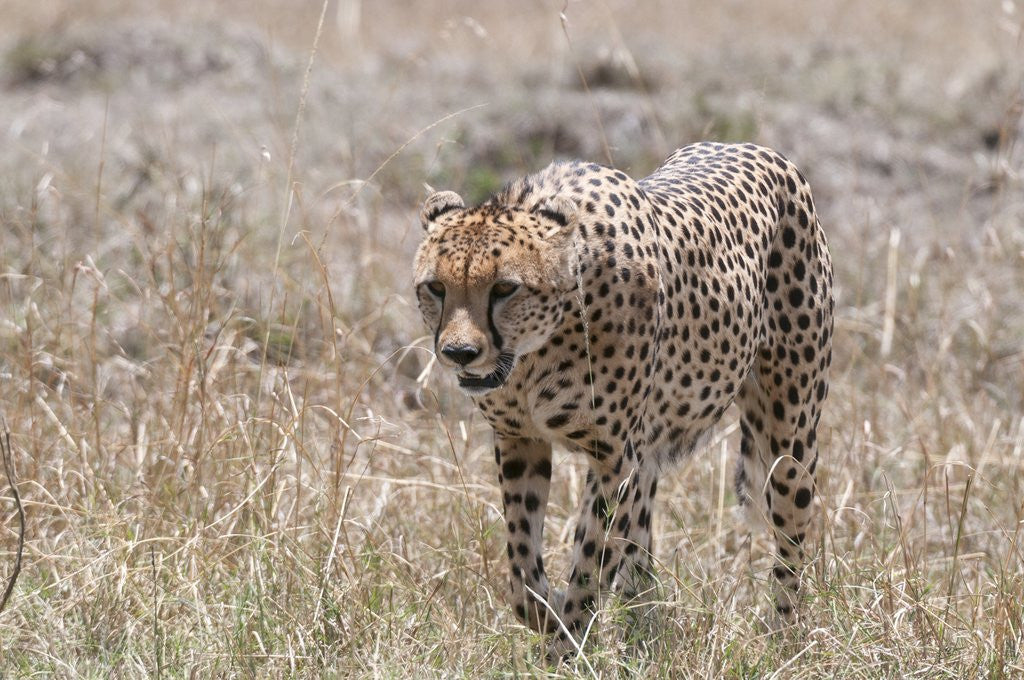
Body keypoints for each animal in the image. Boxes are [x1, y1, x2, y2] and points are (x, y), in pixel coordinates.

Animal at [413, 142, 833, 660]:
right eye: (436, 287)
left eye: (505, 288)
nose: (459, 352)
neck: (535, 354)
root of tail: (760, 149)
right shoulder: (520, 440)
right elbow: (521, 559)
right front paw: (545, 611)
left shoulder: (613, 459)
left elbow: (590, 559)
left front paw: (565, 647)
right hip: (651, 456)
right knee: (640, 555)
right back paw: (643, 640)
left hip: (788, 440)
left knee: (791, 544)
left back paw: (783, 640)